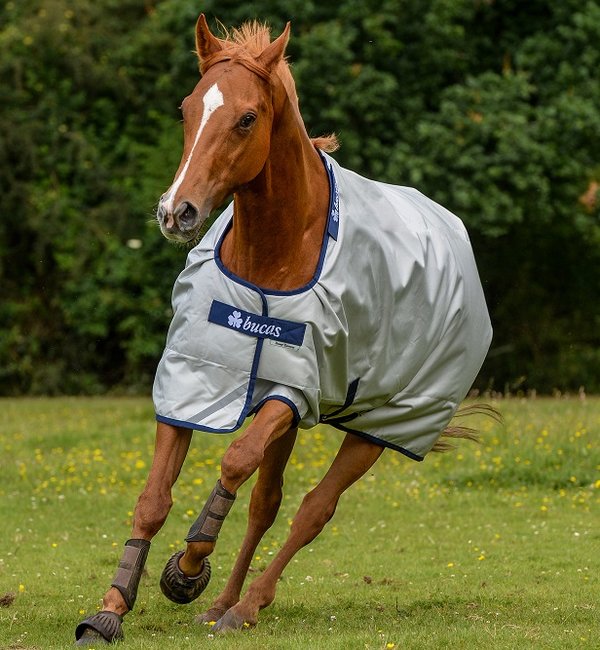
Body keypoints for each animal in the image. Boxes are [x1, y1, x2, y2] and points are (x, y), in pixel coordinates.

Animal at [75, 15, 492, 644]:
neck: (269, 261)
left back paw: (247, 605)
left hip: (380, 426)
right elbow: (155, 497)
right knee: (265, 505)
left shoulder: (293, 390)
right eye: (187, 108)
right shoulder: (191, 378)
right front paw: (112, 607)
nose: (177, 212)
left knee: (312, 510)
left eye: (247, 117)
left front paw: (187, 567)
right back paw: (222, 603)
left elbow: (234, 460)